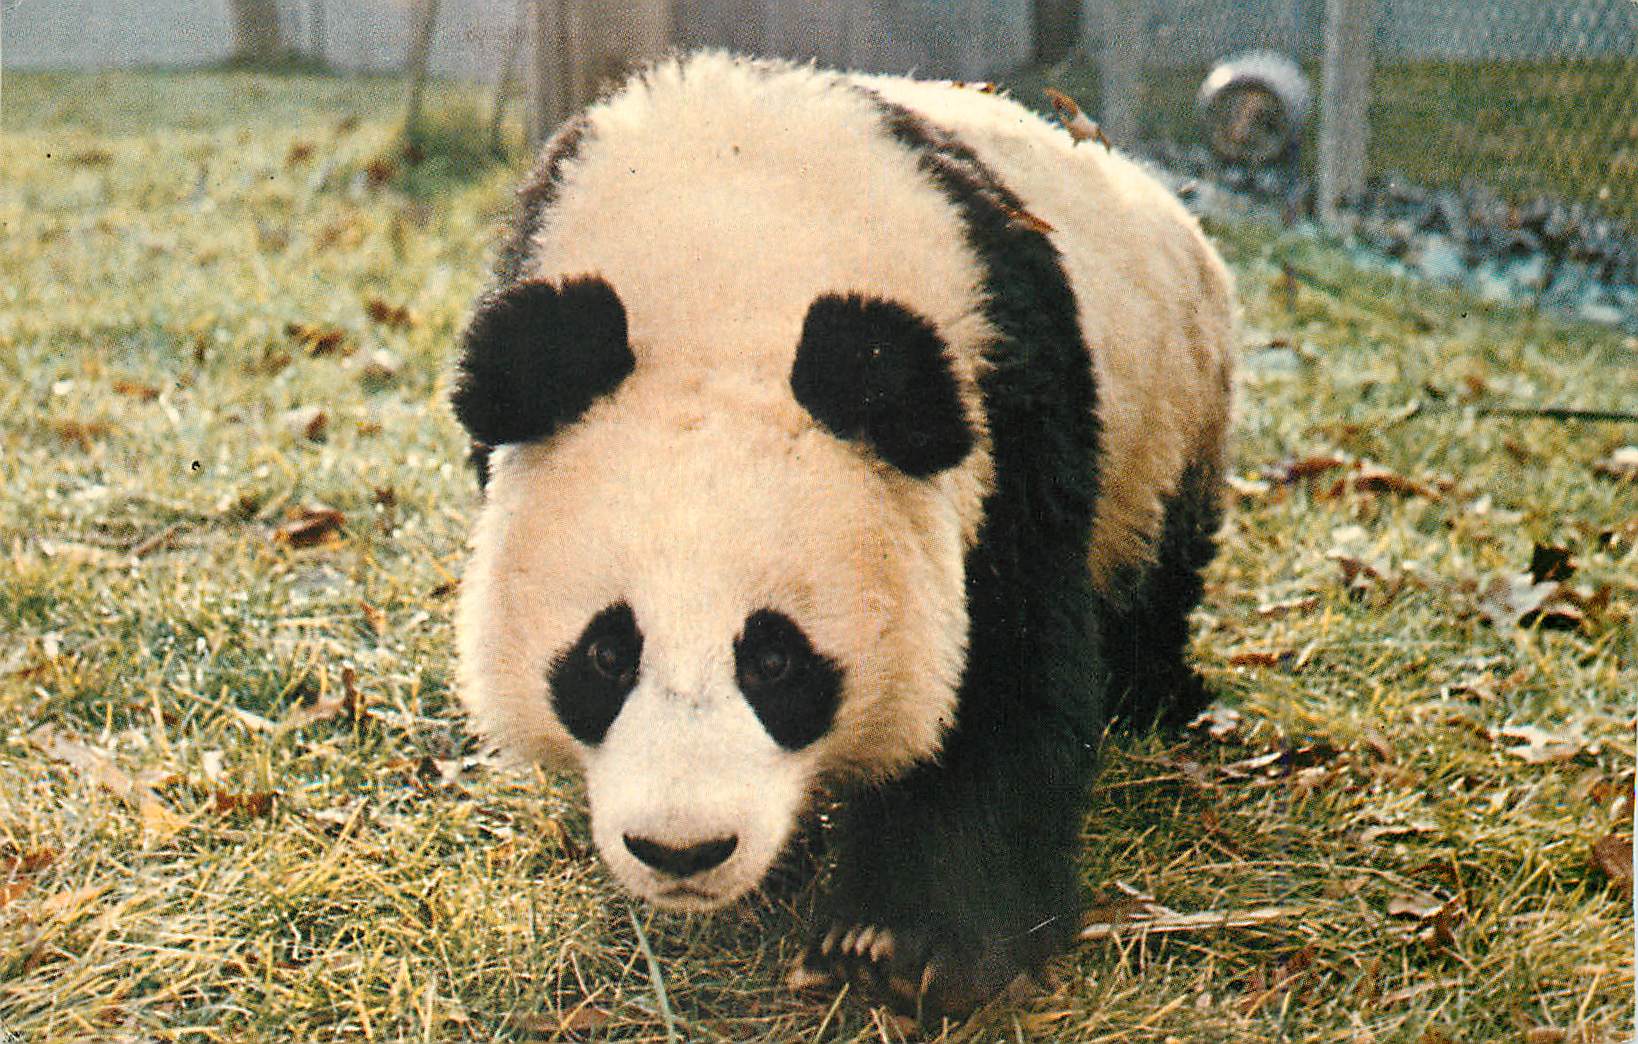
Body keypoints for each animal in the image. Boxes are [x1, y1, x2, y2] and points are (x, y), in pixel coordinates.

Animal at [451, 52, 1234, 1020]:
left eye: (775, 660)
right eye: (605, 654)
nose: (683, 850)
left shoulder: (1006, 392)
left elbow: (1005, 670)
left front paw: (907, 948)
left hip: (1170, 417)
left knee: (1152, 574)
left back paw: (1155, 692)